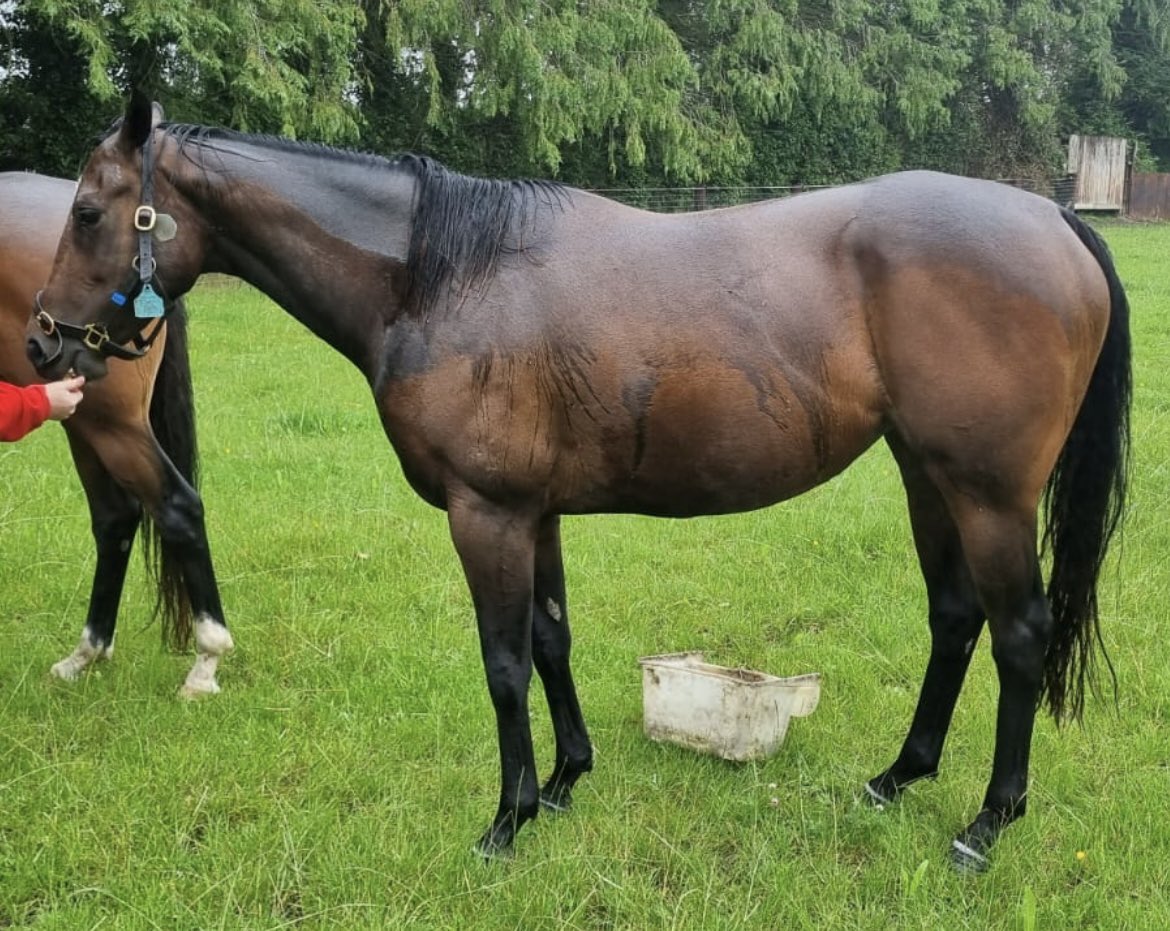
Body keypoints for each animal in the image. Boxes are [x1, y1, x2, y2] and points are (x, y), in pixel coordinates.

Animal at [0, 171, 232, 696]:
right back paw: (86, 654)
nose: (38, 341)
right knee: (116, 517)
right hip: (83, 417)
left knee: (175, 507)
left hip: (110, 422)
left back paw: (206, 660)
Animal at [27, 94, 1131, 871]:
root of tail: (1053, 218)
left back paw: (987, 821)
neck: (440, 274)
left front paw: (507, 819)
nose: (41, 340)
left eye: (86, 209)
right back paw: (898, 777)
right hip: (926, 476)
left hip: (986, 493)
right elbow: (553, 638)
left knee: (1019, 635)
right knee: (956, 617)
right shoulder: (535, 511)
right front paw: (564, 783)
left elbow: (505, 662)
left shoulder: (486, 514)